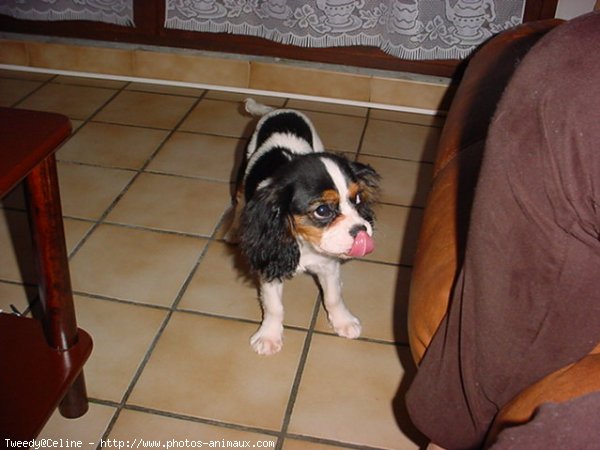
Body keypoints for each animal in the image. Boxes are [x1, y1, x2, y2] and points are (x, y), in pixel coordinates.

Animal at [230, 99, 380, 356]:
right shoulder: (270, 264)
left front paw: (343, 322)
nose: (362, 230)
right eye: (322, 210)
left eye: (358, 199)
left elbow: (333, 296)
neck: (303, 243)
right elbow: (274, 306)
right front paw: (269, 336)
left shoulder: (328, 265)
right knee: (239, 199)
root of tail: (277, 110)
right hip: (244, 163)